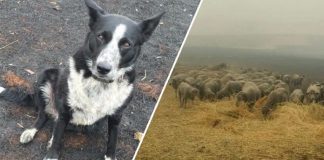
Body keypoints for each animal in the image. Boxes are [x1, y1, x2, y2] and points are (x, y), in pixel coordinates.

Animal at [0, 0, 163, 159]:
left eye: (126, 44)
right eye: (100, 36)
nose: (103, 68)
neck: (99, 83)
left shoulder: (116, 117)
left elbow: (112, 143)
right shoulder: (65, 109)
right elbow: (56, 140)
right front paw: (52, 149)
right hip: (45, 77)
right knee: (44, 115)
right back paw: (31, 131)